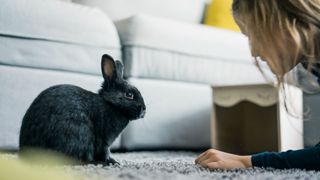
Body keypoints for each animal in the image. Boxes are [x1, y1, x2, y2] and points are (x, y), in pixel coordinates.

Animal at [18, 54, 146, 165]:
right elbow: (105, 151)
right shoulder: (104, 140)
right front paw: (112, 162)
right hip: (80, 133)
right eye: (129, 95)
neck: (111, 104)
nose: (144, 110)